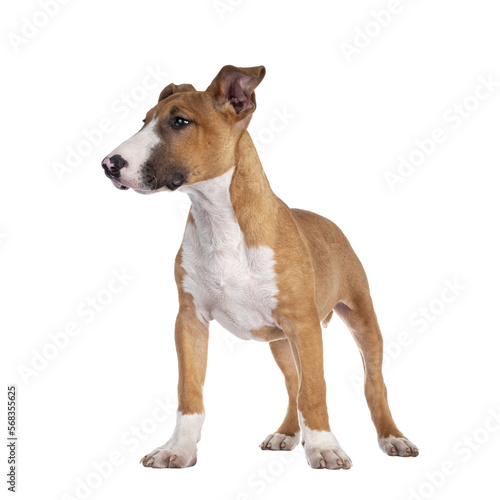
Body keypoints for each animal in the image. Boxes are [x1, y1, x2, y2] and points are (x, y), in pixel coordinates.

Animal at [101, 65, 418, 468]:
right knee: (292, 382)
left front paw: (324, 447)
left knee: (372, 382)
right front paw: (178, 449)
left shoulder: (303, 324)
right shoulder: (189, 320)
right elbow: (190, 391)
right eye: (144, 121)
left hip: (361, 317)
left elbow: (315, 390)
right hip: (281, 341)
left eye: (180, 121)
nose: (109, 164)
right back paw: (287, 433)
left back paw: (393, 438)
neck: (218, 219)